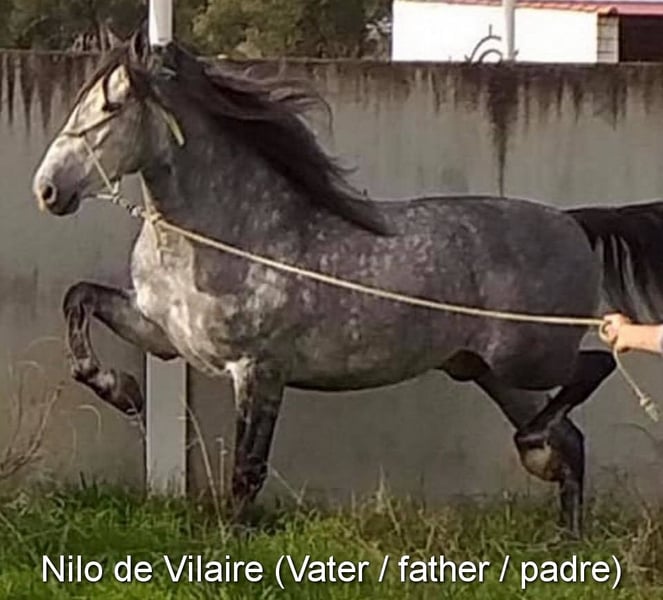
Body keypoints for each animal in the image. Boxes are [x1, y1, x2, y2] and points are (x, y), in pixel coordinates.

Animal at [31, 26, 663, 537]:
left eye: (112, 107)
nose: (47, 190)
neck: (231, 230)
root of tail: (574, 222)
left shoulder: (259, 370)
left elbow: (247, 470)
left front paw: (231, 543)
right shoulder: (161, 334)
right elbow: (78, 301)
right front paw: (123, 391)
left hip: (526, 358)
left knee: (593, 370)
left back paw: (536, 450)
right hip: (490, 372)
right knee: (572, 439)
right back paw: (565, 534)